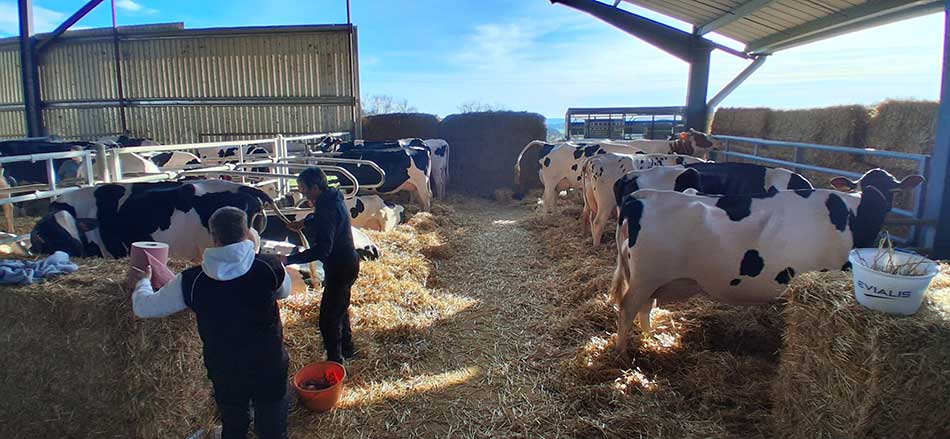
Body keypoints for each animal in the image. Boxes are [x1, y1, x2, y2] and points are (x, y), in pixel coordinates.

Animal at [514, 140, 645, 215]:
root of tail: (549, 144)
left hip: (556, 183)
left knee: (554, 198)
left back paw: (555, 216)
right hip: (551, 181)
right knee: (546, 199)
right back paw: (546, 220)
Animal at [609, 168, 923, 356]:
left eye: (894, 190)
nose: (882, 205)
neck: (853, 215)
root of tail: (641, 197)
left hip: (653, 279)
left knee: (645, 308)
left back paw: (650, 338)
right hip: (645, 278)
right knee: (628, 308)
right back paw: (623, 352)